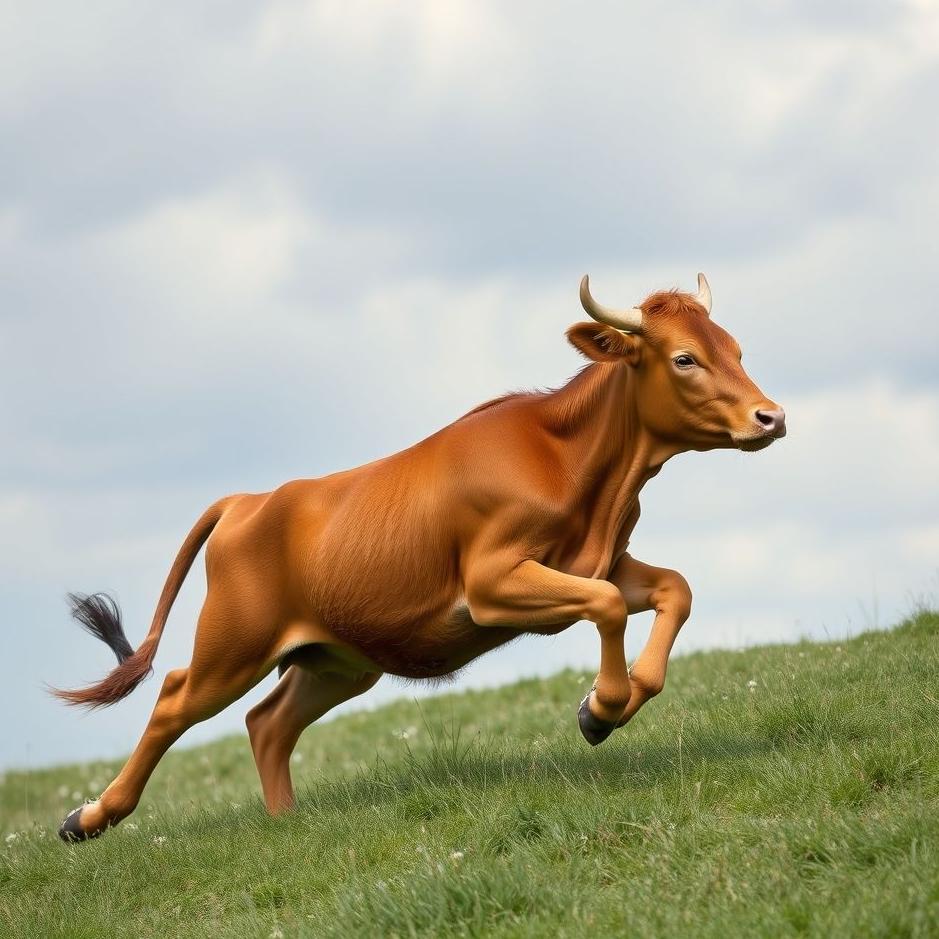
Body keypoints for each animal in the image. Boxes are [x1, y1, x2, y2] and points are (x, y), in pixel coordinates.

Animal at [54, 273, 786, 842]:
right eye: (684, 359)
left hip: (336, 659)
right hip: (233, 645)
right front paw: (601, 709)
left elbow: (675, 589)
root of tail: (249, 499)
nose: (769, 416)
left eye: (736, 349)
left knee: (268, 723)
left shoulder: (602, 560)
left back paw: (287, 824)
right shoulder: (492, 584)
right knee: (175, 700)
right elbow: (607, 607)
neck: (577, 468)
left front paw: (618, 698)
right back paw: (89, 817)